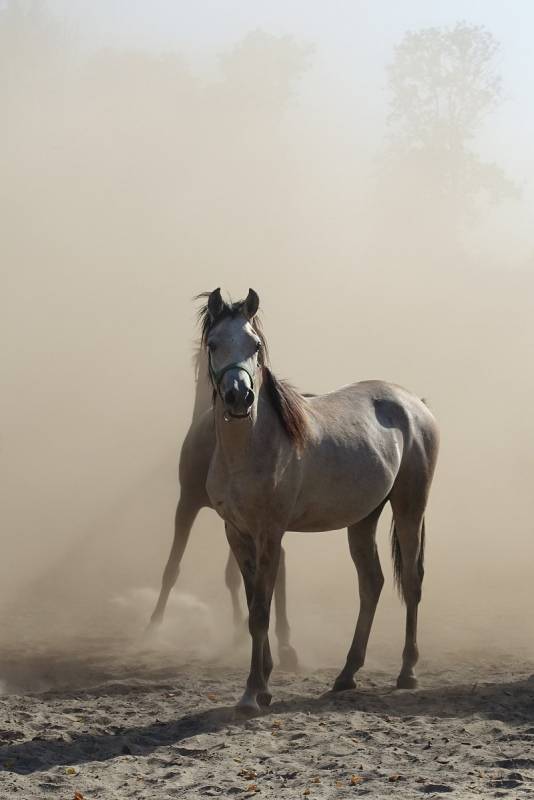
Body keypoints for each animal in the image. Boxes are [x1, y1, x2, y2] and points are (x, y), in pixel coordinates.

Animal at [149, 334, 299, 671]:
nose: (238, 396)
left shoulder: (187, 503)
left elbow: (173, 566)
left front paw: (153, 624)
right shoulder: (232, 517)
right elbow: (233, 575)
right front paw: (239, 628)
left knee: (278, 564)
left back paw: (284, 643)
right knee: (277, 563)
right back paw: (282, 643)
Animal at [198, 287, 439, 715]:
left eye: (255, 345)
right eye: (213, 344)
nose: (240, 396)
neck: (251, 449)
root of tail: (414, 404)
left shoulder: (269, 534)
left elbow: (260, 611)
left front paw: (252, 693)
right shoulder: (237, 533)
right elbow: (253, 604)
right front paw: (264, 684)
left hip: (410, 507)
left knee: (411, 582)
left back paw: (407, 672)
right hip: (363, 518)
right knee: (372, 583)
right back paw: (346, 675)